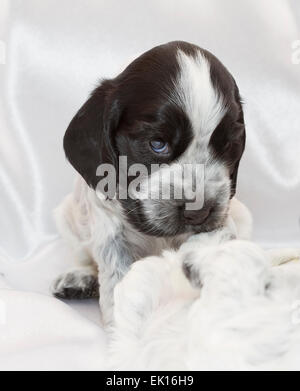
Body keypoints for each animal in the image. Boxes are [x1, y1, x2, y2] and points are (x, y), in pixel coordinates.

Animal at [50, 41, 245, 326]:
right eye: (157, 144)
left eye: (228, 145)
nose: (199, 212)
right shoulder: (112, 233)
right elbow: (119, 280)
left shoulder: (222, 216)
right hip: (68, 216)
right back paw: (81, 278)